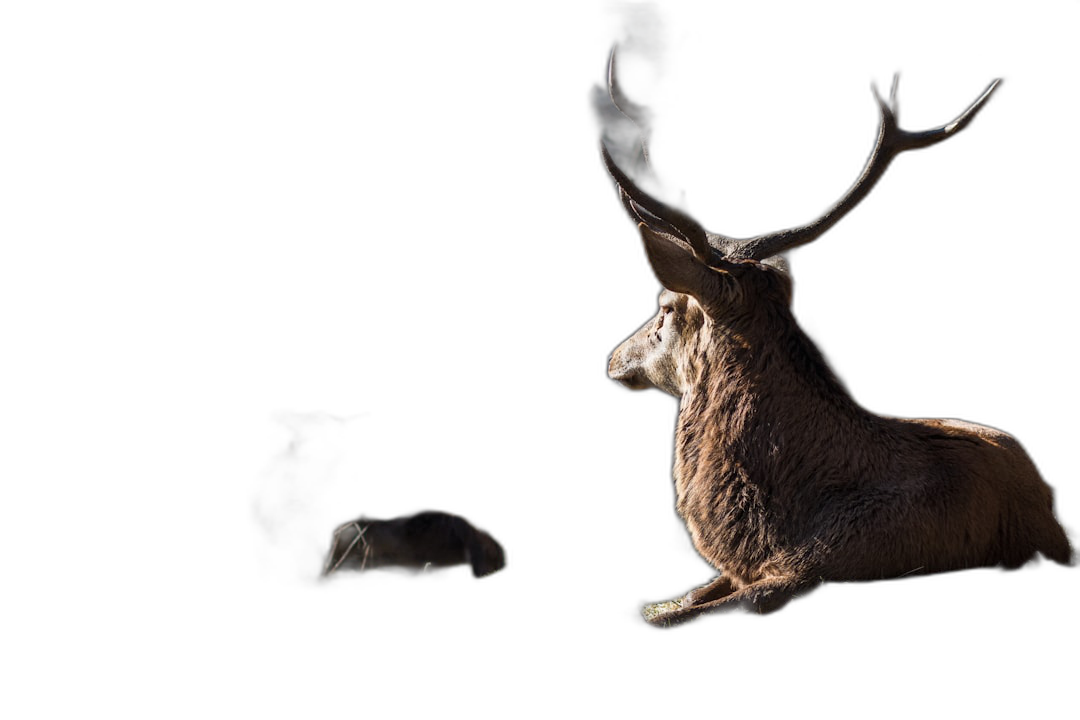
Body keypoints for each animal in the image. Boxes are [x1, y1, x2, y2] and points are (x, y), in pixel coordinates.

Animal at [604, 49, 1075, 630]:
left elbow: (667, 618)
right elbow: (679, 600)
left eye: (666, 306)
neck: (773, 533)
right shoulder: (738, 573)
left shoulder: (821, 571)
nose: (613, 357)